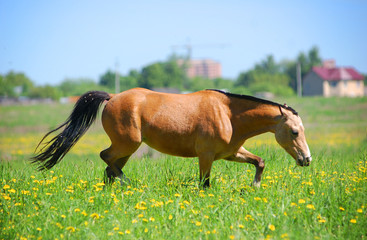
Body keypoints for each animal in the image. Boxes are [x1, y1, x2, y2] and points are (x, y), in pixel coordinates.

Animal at [32, 87, 314, 188]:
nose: (306, 159)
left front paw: (254, 187)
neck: (228, 114)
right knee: (107, 159)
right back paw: (128, 183)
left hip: (127, 149)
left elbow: (259, 162)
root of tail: (111, 98)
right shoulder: (206, 156)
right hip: (128, 143)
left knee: (110, 167)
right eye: (295, 132)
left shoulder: (230, 153)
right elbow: (205, 184)